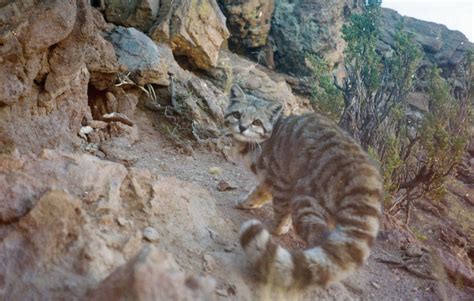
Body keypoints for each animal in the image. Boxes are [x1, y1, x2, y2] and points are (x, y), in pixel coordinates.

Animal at [224, 83, 384, 288]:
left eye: (256, 122)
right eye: (237, 114)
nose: (242, 127)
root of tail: (363, 170)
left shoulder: (281, 179)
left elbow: (280, 208)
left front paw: (278, 227)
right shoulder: (269, 180)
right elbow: (259, 193)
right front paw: (247, 203)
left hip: (305, 202)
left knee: (320, 237)